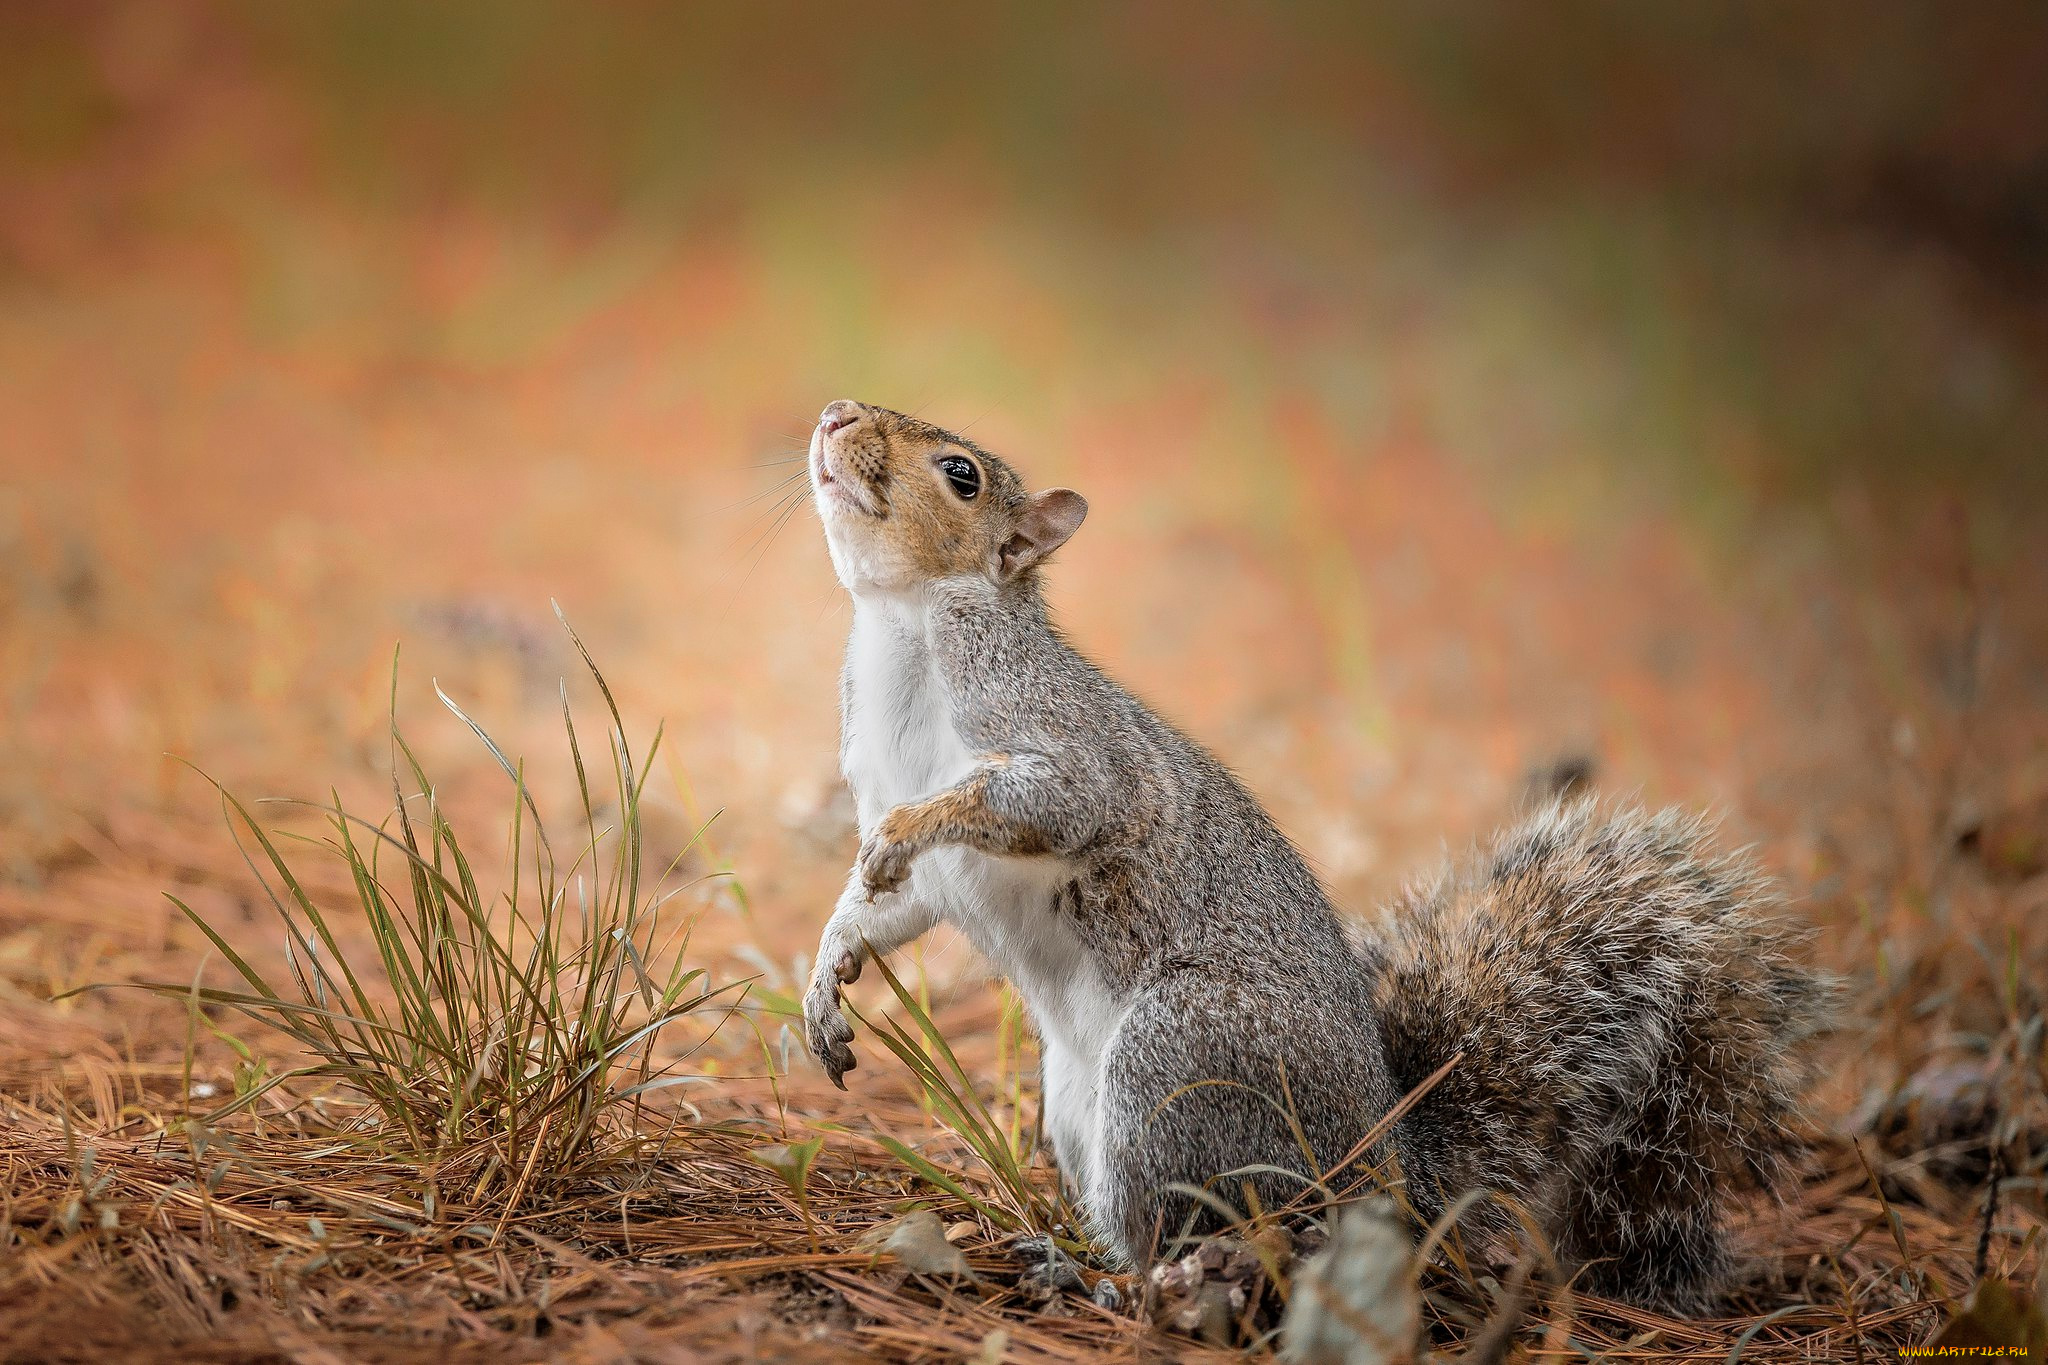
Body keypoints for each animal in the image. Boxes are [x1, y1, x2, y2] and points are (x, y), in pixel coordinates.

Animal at [798, 397, 1843, 1309]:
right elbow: (890, 903)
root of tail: (1382, 1169)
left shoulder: (1054, 730)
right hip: (1075, 1103)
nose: (837, 413)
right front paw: (830, 971)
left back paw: (1114, 1282)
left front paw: (911, 829)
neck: (903, 625)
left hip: (1180, 1059)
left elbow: (1052, 799)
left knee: (1192, 1223)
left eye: (961, 475)